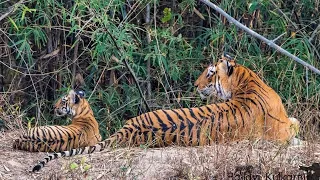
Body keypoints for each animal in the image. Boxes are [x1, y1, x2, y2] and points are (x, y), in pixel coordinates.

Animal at [31, 54, 298, 172]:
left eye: (210, 73)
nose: (196, 85)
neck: (245, 81)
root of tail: (128, 129)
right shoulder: (284, 127)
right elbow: (295, 126)